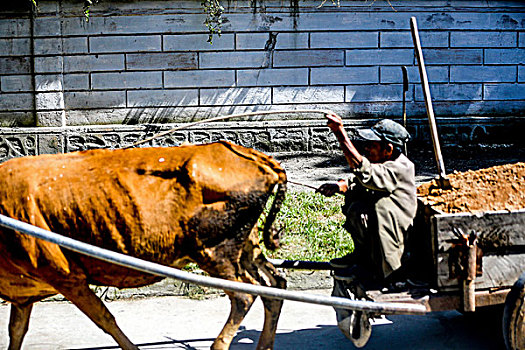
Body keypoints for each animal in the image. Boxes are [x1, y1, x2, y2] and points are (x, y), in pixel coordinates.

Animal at [0, 141, 286, 348]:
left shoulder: (65, 275)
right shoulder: (25, 295)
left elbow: (105, 320)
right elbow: (16, 330)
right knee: (274, 285)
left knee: (245, 295)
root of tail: (257, 158)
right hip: (247, 246)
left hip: (216, 252)